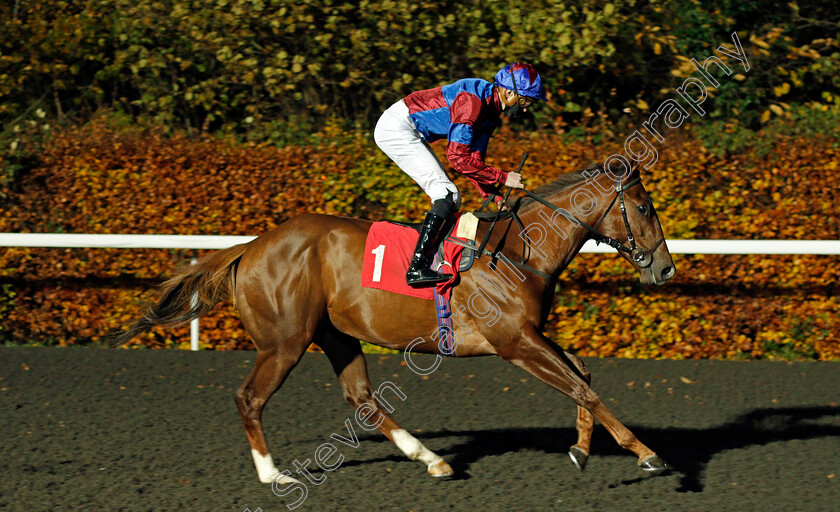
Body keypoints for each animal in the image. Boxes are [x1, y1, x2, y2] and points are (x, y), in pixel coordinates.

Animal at [110, 163, 676, 484]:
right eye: (645, 207)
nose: (665, 268)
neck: (519, 250)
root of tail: (252, 246)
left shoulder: (529, 335)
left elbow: (583, 373)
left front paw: (580, 449)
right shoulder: (514, 342)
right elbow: (583, 389)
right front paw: (647, 454)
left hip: (335, 334)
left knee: (362, 399)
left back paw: (430, 459)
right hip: (285, 341)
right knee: (250, 398)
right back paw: (274, 477)